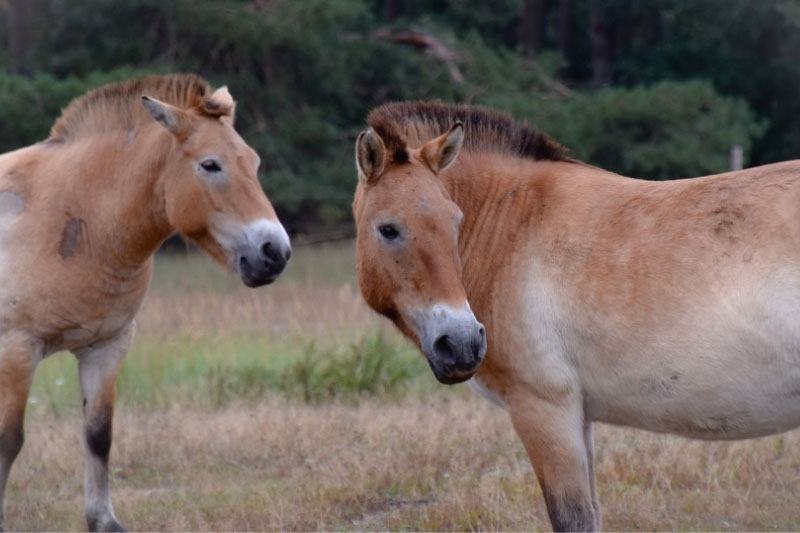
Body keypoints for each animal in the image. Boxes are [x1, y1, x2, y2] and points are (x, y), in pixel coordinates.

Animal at [0, 74, 291, 531]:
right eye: (210, 165)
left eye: (254, 162)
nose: (274, 252)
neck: (75, 216)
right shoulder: (17, 348)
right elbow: (9, 440)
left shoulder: (106, 346)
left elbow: (98, 434)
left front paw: (103, 520)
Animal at [352, 101, 800, 531]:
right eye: (388, 229)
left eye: (456, 221)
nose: (462, 343)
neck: (513, 226)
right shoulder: (578, 418)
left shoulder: (545, 411)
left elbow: (573, 518)